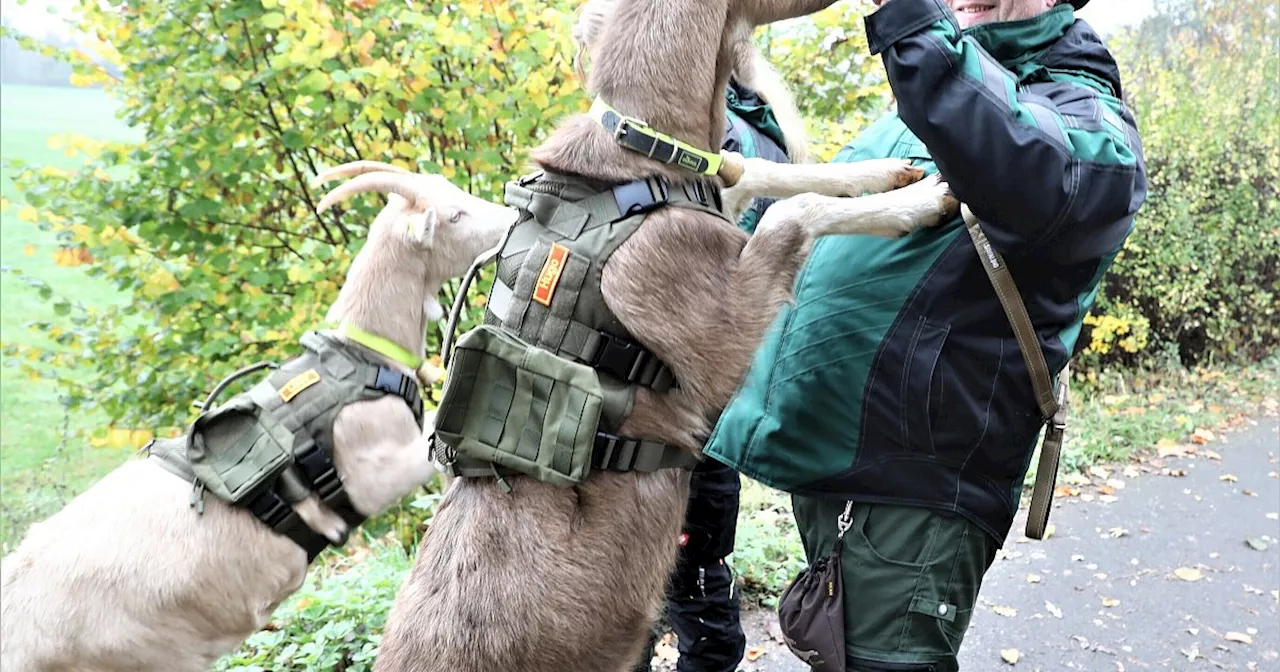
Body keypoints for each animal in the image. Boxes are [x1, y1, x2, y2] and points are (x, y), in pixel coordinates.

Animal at [366, 1, 957, 670]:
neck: (646, 148)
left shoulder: (723, 193)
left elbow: (767, 172)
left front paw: (889, 170)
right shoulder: (721, 334)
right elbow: (794, 208)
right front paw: (921, 199)